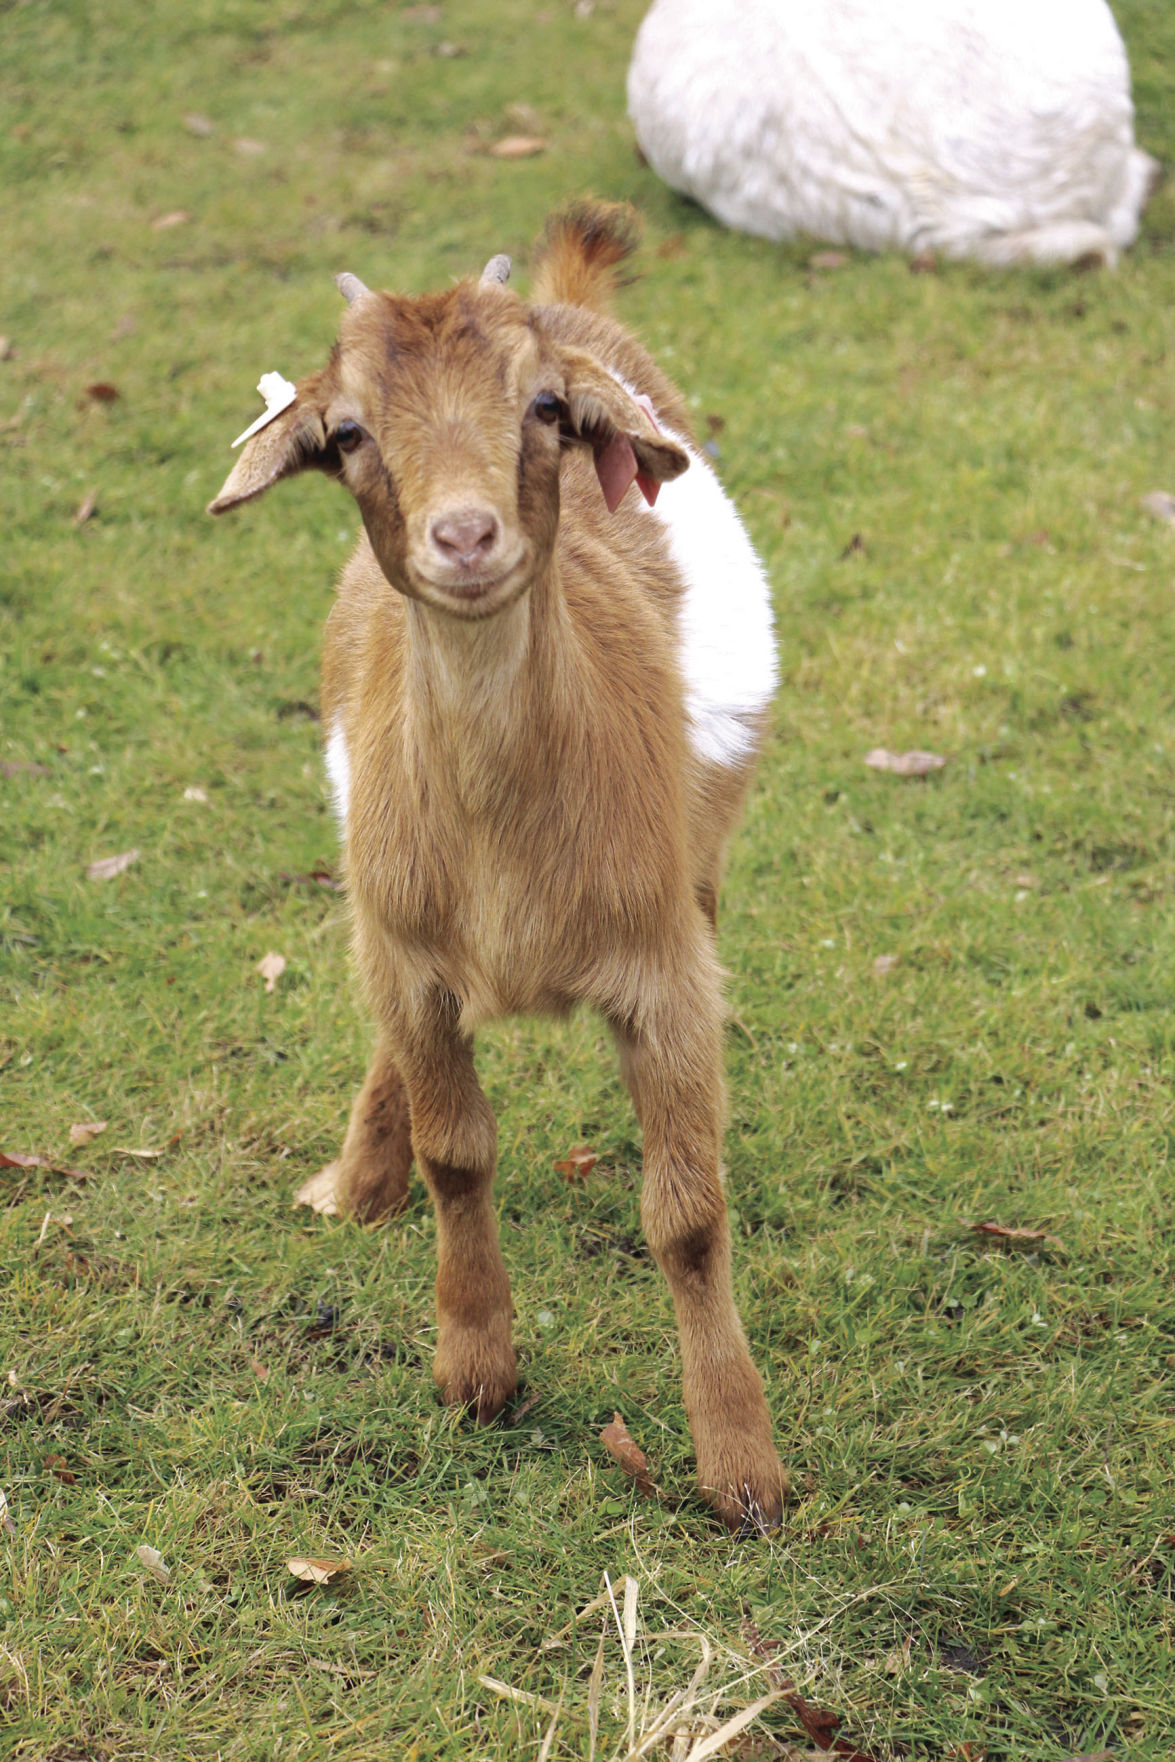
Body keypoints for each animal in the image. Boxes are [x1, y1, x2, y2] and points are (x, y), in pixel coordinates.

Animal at [208, 201, 785, 1530]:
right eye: (349, 432)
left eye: (544, 409)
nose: (465, 536)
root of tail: (576, 297)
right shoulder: (412, 957)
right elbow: (456, 1151)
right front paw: (475, 1365)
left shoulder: (664, 974)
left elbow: (687, 1214)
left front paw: (741, 1462)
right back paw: (356, 1178)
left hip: (700, 859)